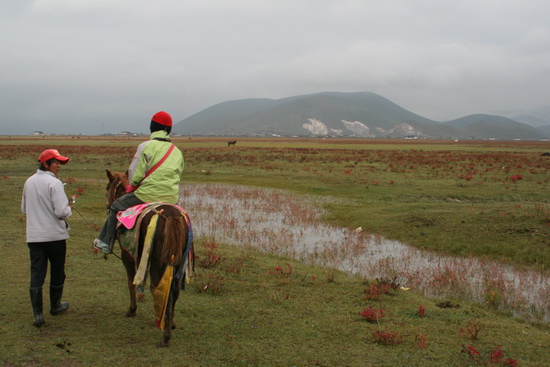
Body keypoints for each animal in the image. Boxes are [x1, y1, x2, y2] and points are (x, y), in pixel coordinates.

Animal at [104, 170, 193, 348]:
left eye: (107, 187)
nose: (107, 206)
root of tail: (171, 216)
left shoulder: (127, 255)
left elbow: (131, 283)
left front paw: (132, 309)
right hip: (177, 261)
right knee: (174, 290)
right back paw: (170, 323)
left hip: (159, 261)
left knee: (160, 289)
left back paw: (165, 333)